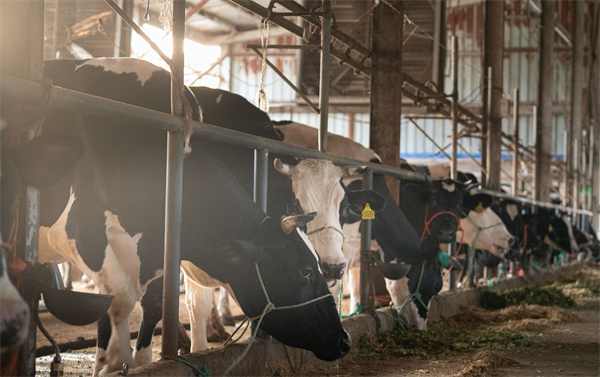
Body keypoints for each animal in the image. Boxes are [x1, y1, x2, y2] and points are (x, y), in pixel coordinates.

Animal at [3, 57, 352, 374]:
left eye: (343, 207)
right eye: (305, 272)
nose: (344, 340)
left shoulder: (160, 250)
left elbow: (154, 305)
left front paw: (144, 359)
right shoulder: (81, 231)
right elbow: (122, 301)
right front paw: (113, 363)